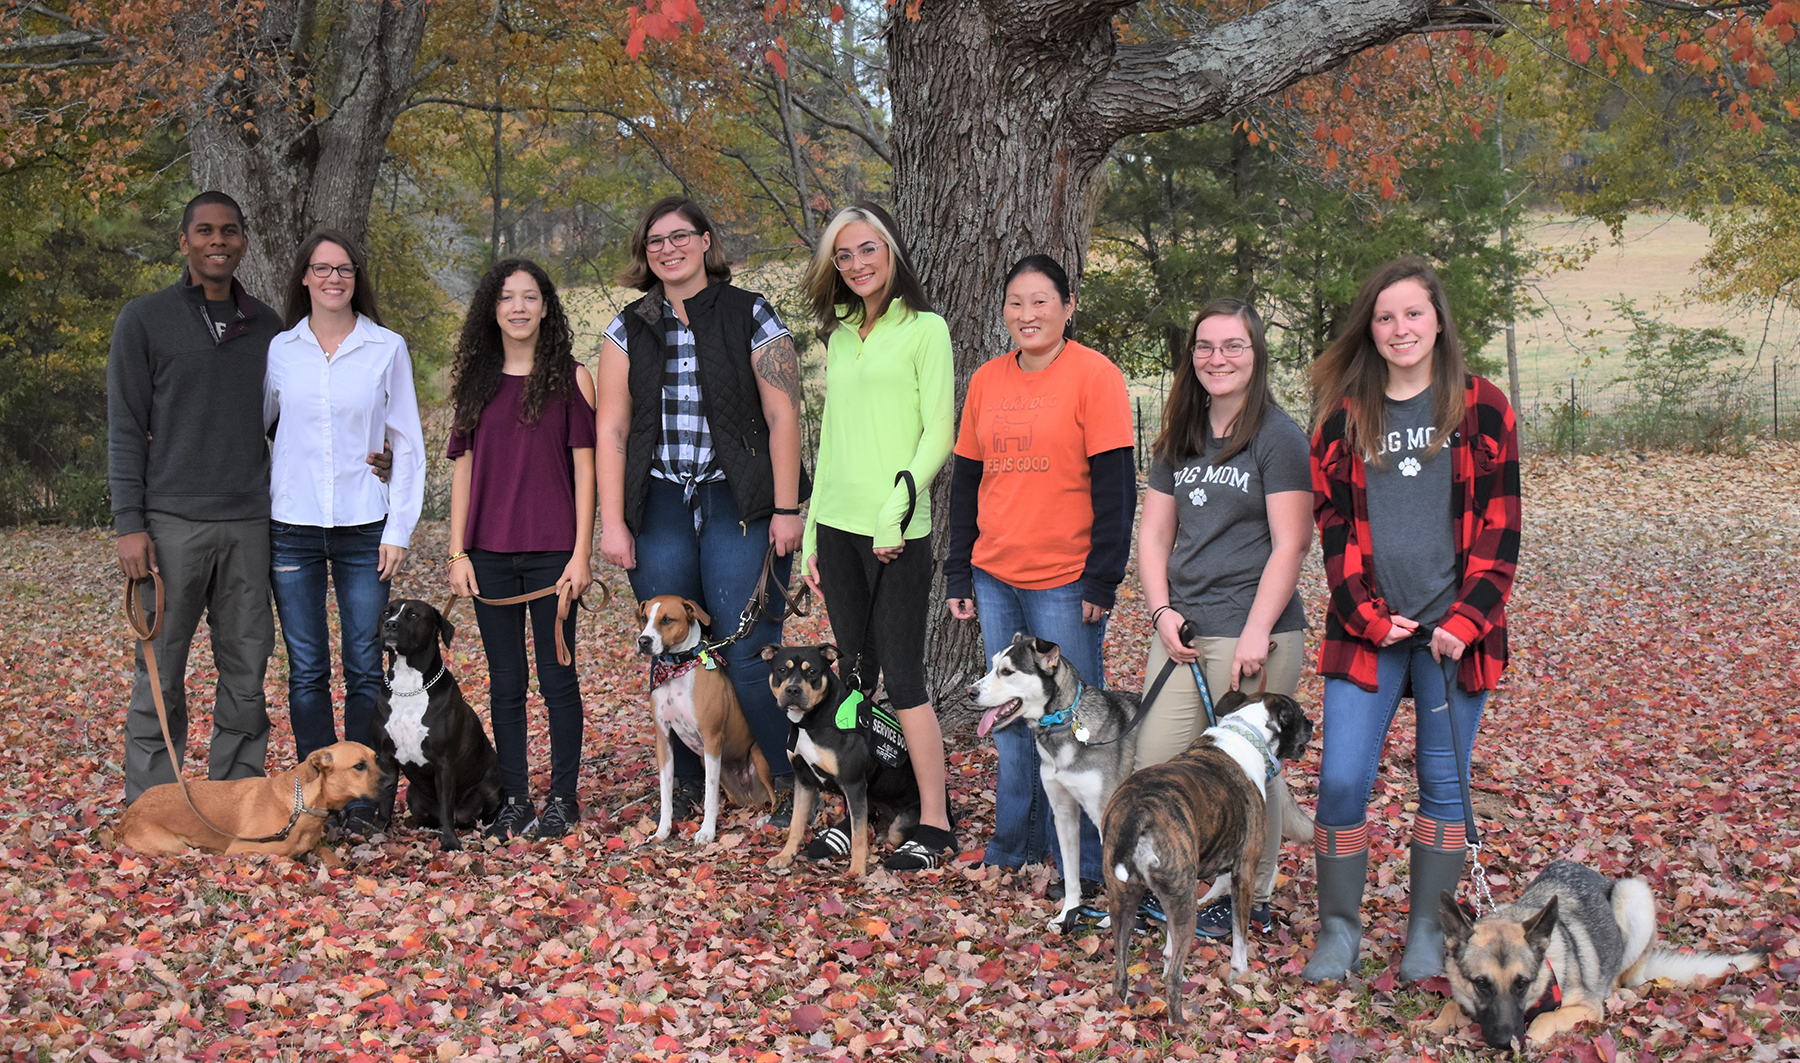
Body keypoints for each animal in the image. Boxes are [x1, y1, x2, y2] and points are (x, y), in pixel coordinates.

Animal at [122, 744, 387, 859]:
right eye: (359, 766)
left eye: (377, 759)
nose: (389, 783)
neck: (300, 806)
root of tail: (127, 814)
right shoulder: (242, 848)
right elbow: (283, 855)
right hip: (175, 845)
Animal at [369, 604, 504, 852]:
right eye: (386, 612)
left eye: (413, 615)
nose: (390, 625)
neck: (408, 685)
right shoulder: (385, 757)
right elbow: (384, 802)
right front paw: (377, 832)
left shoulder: (444, 764)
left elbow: (445, 809)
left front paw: (449, 842)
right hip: (413, 795)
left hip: (490, 788)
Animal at [633, 593, 774, 845]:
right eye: (644, 618)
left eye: (667, 619)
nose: (643, 641)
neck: (677, 670)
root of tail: (751, 797)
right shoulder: (663, 740)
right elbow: (666, 794)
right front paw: (662, 830)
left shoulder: (711, 739)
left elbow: (710, 795)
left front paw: (707, 831)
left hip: (758, 755)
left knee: (775, 796)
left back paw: (768, 819)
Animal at [972, 636, 1137, 928]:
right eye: (992, 666)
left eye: (1007, 671)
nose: (970, 692)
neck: (1063, 722)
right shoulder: (1064, 812)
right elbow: (1070, 877)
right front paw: (1067, 915)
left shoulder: (1108, 819)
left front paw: (1111, 921)